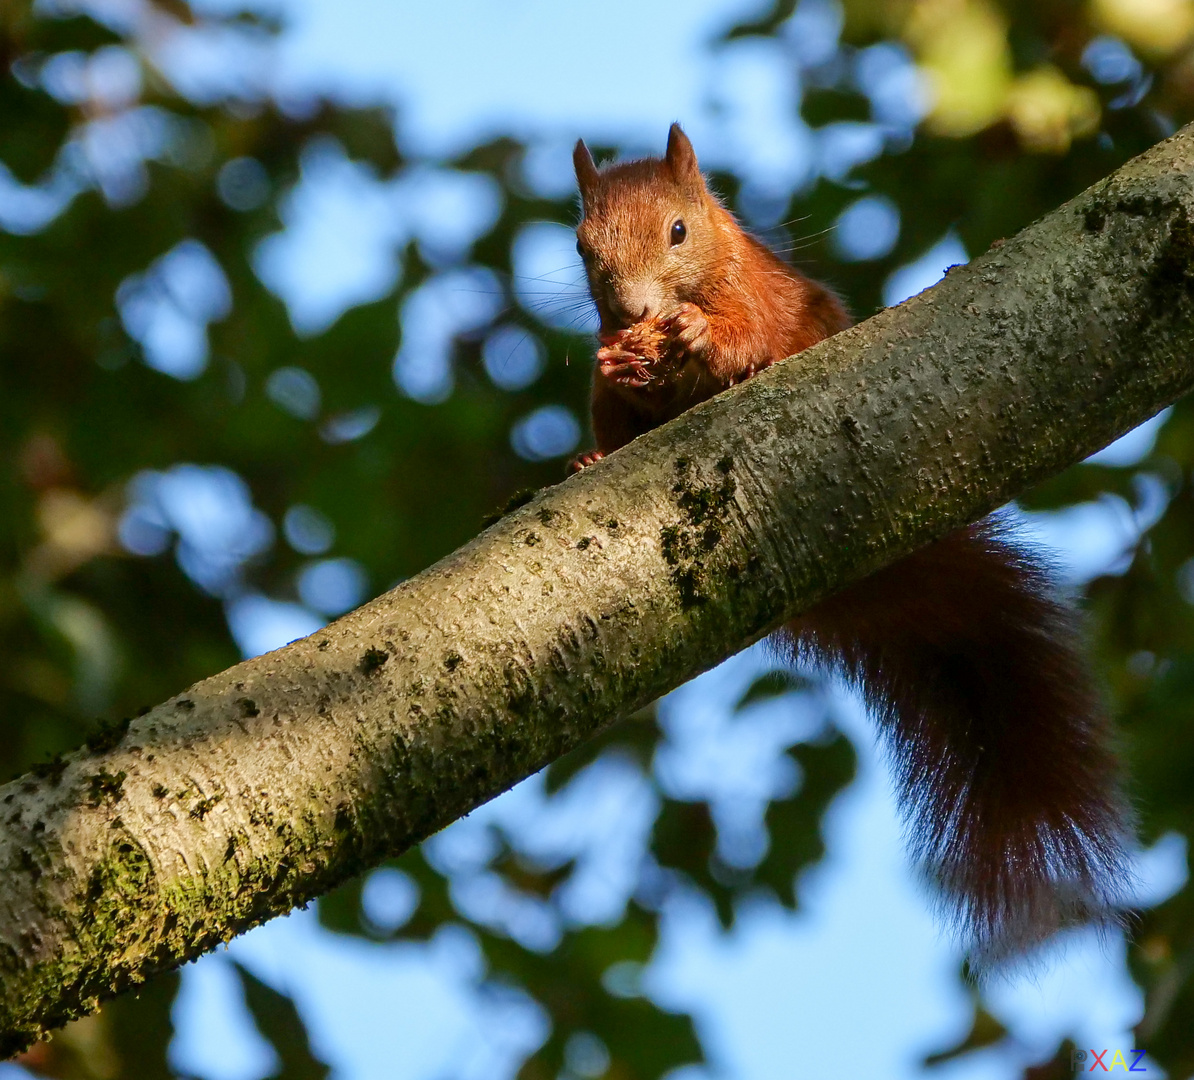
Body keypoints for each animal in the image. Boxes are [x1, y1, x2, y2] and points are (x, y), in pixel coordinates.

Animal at [573, 122, 1131, 954]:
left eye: (678, 230)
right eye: (582, 246)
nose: (633, 307)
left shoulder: (765, 300)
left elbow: (747, 337)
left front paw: (699, 334)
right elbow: (614, 391)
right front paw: (617, 367)